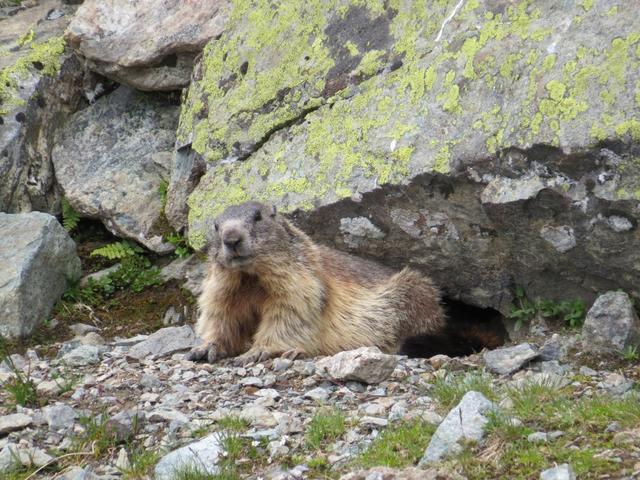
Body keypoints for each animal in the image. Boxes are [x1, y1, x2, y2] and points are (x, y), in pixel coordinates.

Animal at [187, 201, 503, 365]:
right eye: (215, 226)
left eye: (258, 216)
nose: (231, 238)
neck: (251, 278)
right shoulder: (222, 288)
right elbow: (221, 315)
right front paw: (206, 347)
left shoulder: (301, 283)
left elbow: (288, 314)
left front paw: (259, 349)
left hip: (412, 294)